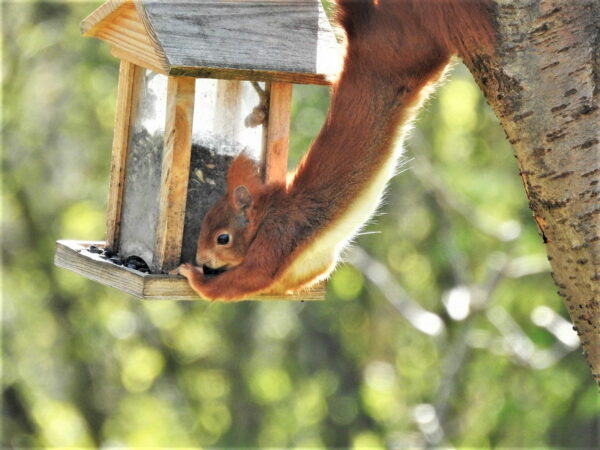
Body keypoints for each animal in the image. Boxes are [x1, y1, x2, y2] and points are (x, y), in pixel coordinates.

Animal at [176, 0, 494, 302]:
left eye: (223, 238)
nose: (201, 258)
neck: (267, 214)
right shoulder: (316, 265)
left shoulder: (278, 238)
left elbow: (249, 278)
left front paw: (195, 277)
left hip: (409, 49)